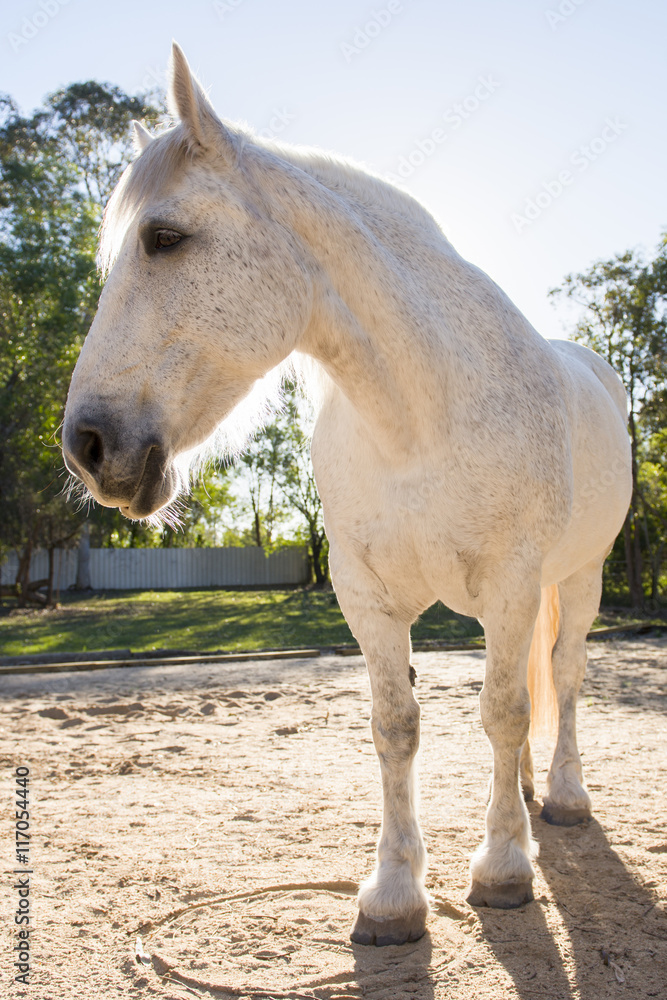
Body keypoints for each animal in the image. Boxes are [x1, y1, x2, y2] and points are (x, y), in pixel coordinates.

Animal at [62, 44, 632, 947]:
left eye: (164, 237)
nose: (87, 446)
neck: (421, 415)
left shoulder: (511, 584)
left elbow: (504, 710)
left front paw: (502, 869)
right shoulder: (365, 597)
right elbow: (396, 726)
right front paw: (393, 893)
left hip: (579, 576)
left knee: (564, 675)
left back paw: (562, 798)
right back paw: (524, 793)